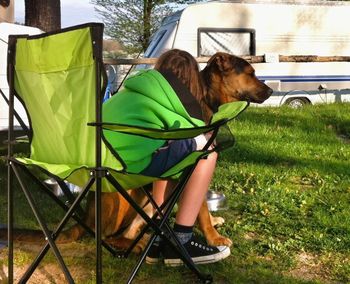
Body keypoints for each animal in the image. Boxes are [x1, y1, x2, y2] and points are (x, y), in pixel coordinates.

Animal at [0, 52, 272, 253]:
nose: (270, 92)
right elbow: (202, 210)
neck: (208, 97)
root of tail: (86, 216)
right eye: (250, 73)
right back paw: (140, 244)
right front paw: (213, 237)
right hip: (127, 199)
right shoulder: (192, 163)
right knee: (110, 238)